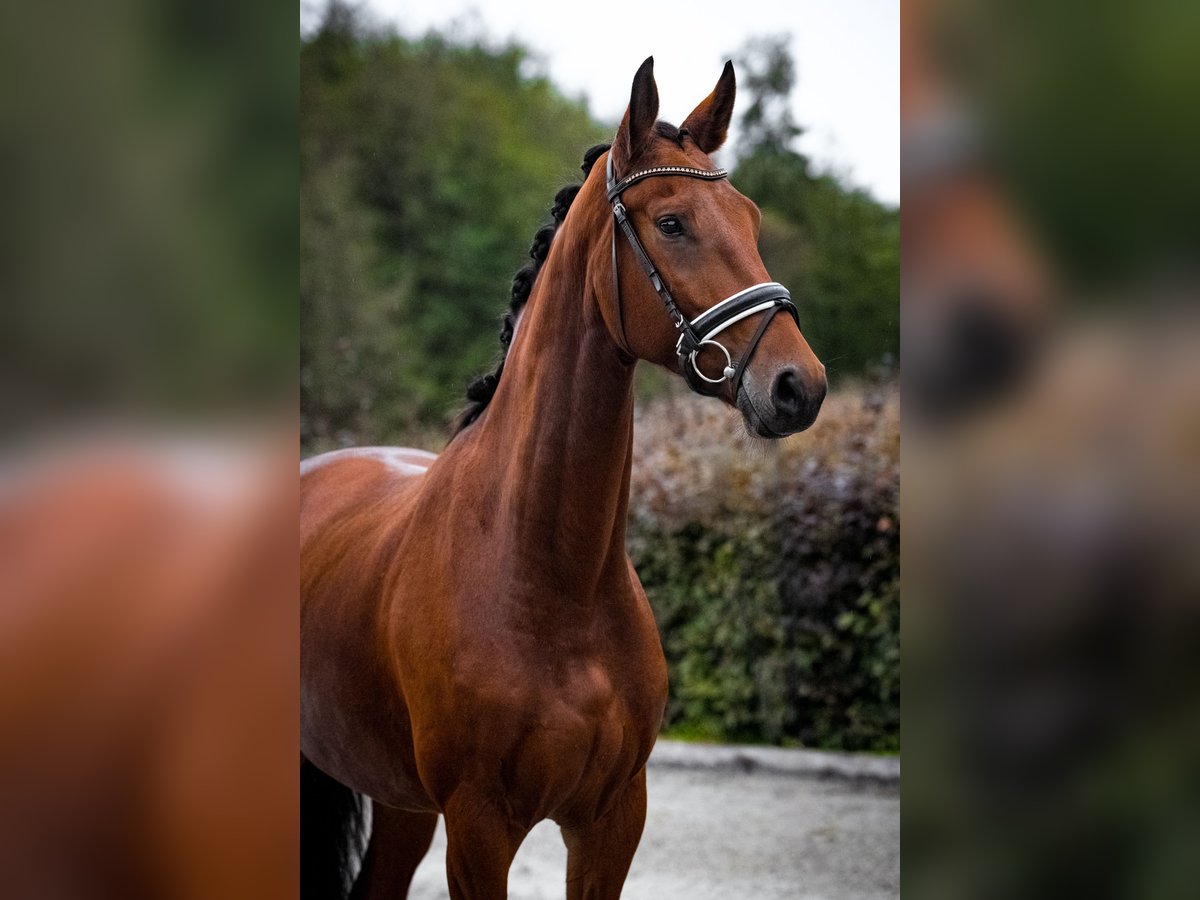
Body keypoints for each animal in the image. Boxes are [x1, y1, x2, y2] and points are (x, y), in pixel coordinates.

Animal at [300, 58, 825, 900]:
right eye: (672, 223)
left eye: (749, 219)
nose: (797, 386)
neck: (554, 579)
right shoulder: (479, 828)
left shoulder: (612, 821)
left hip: (401, 804)